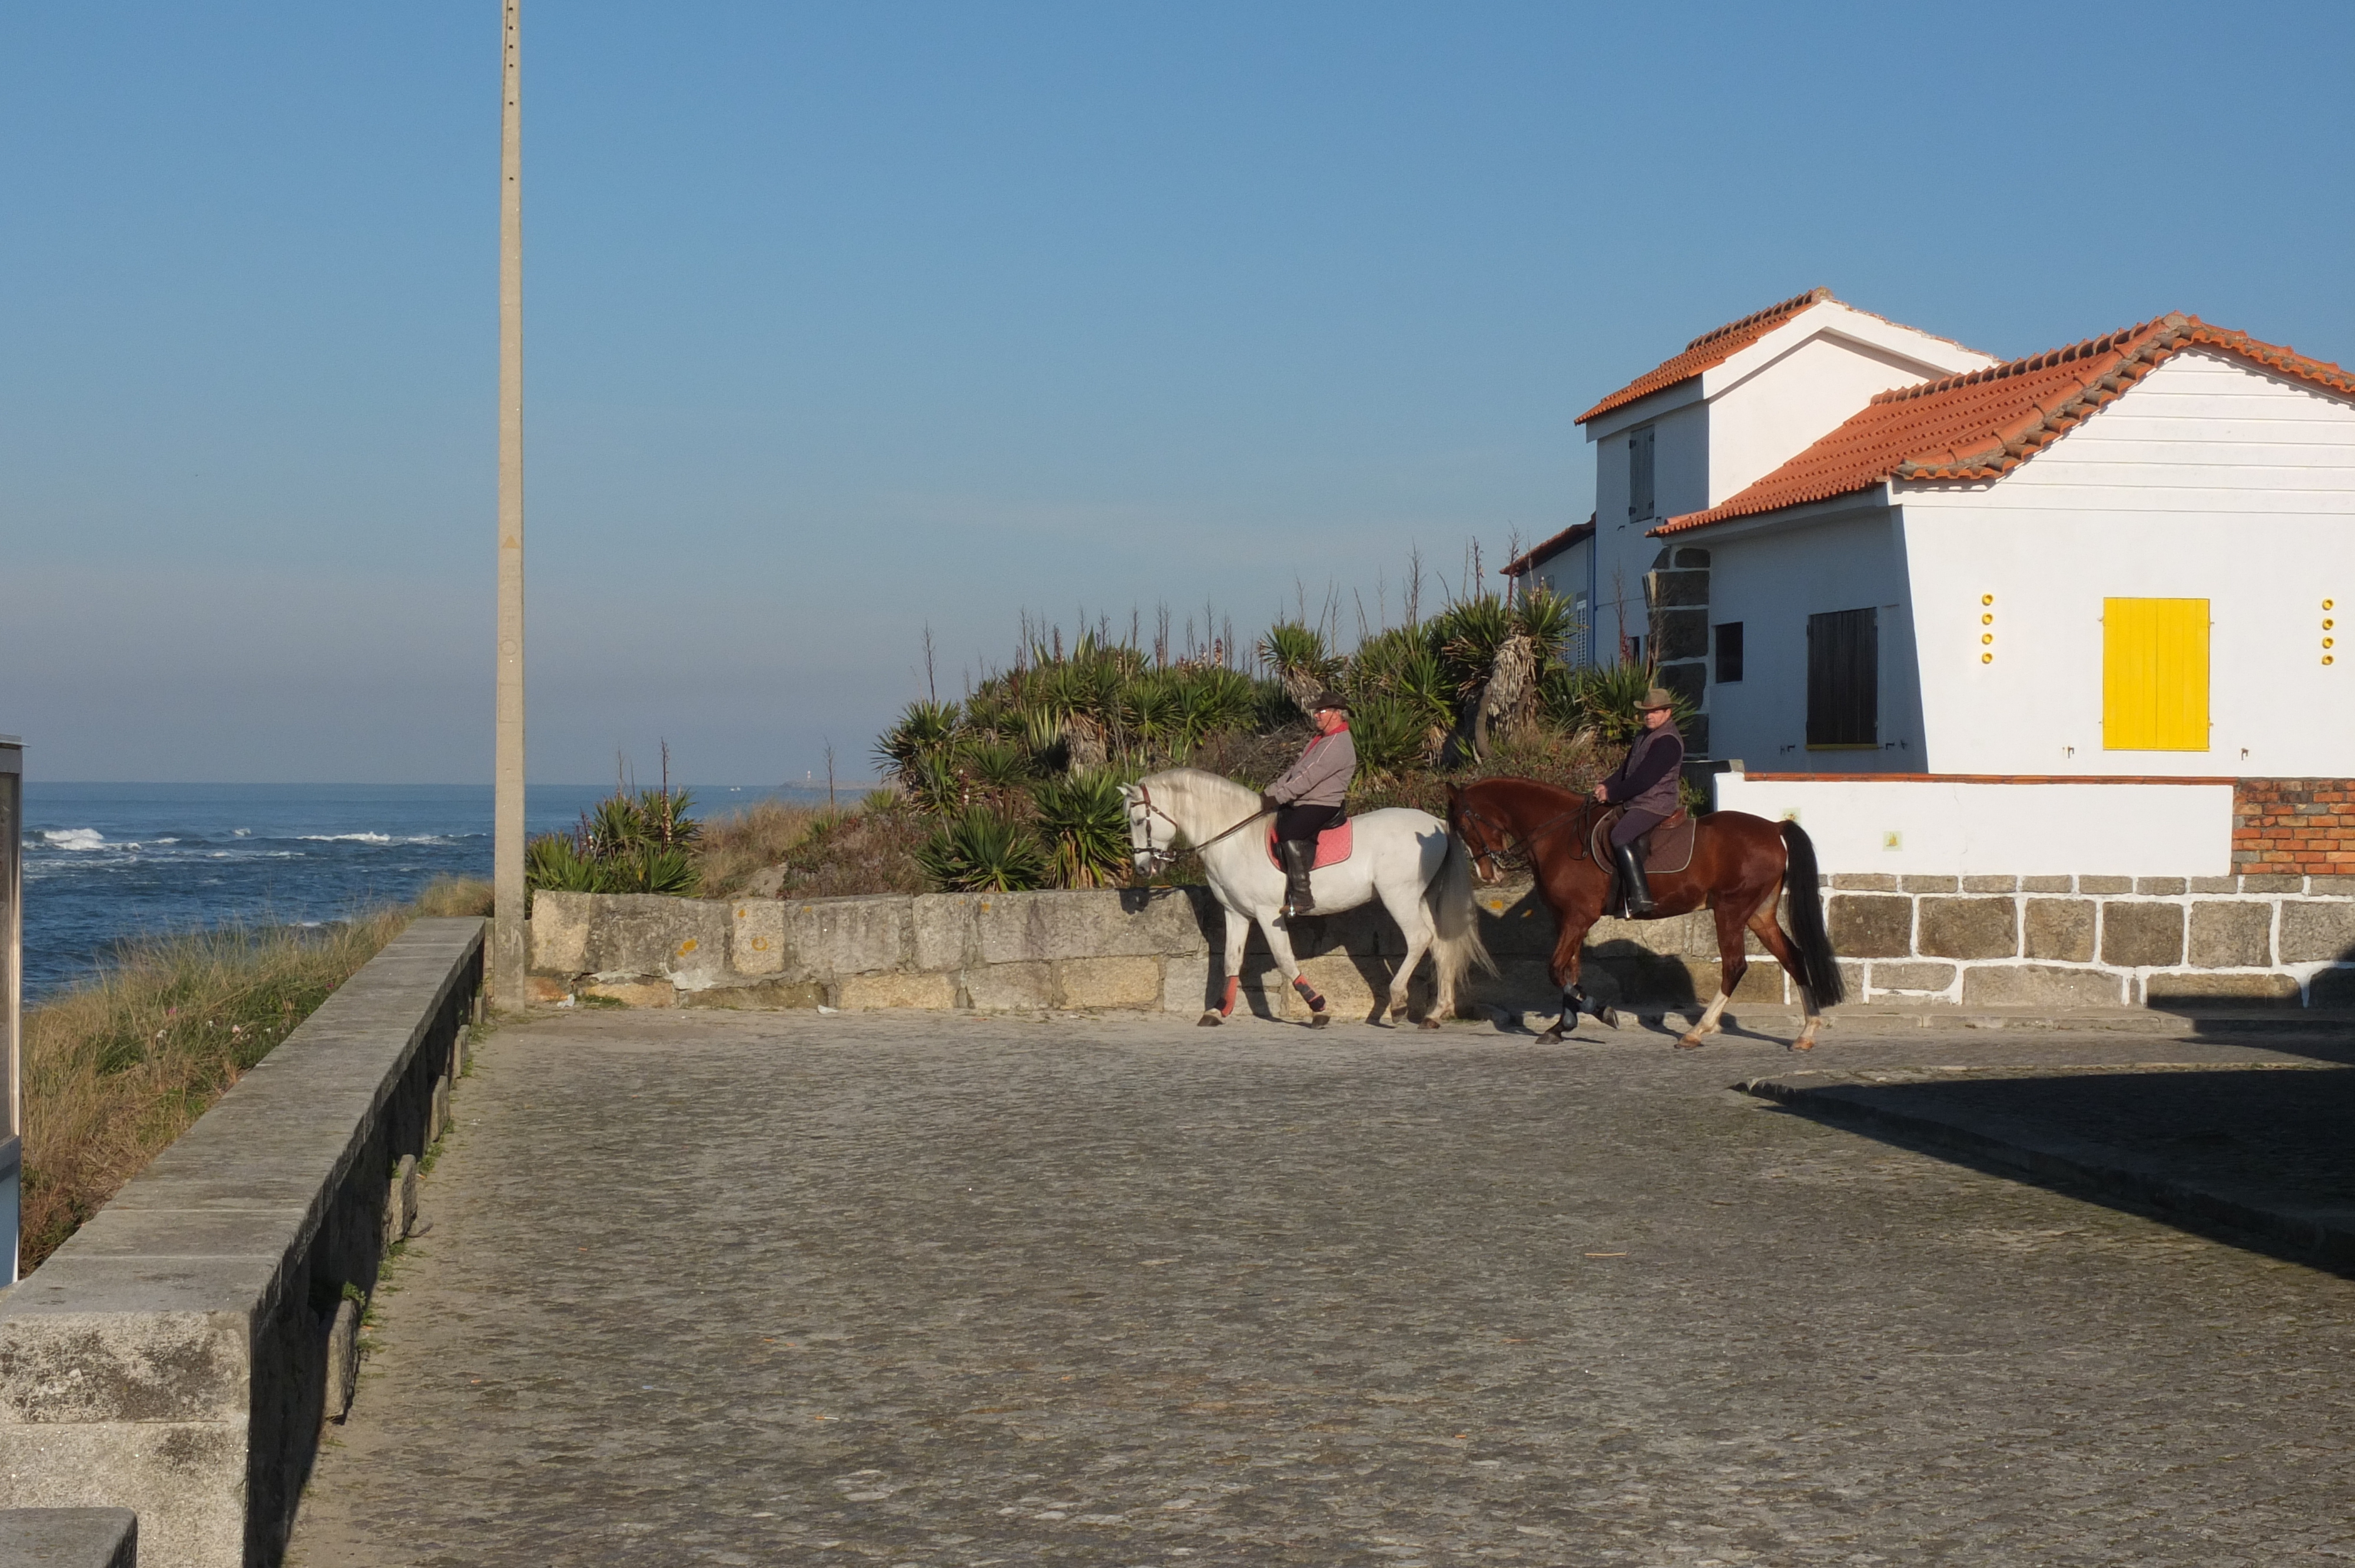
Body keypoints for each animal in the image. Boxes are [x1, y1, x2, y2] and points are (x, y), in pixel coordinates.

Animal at [1121, 768, 1488, 1026]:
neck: (1234, 839)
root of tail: (1437, 823)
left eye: (1139, 820)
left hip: (1399, 896)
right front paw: (1218, 1011)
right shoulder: (1236, 913)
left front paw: (1319, 1008)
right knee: (1440, 944)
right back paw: (1435, 1014)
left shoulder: (1267, 913)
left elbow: (1285, 960)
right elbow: (1231, 961)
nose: (1142, 867)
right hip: (1424, 898)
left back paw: (1398, 1002)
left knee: (1419, 939)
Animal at [1441, 772, 1846, 1045]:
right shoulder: (1567, 919)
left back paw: (1697, 1032)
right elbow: (1570, 971)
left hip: (1731, 910)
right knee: (1793, 958)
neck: (1559, 835)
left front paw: (1601, 1013)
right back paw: (1807, 1033)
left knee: (1735, 966)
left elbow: (1557, 971)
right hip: (1760, 914)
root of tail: (1775, 828)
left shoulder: (1579, 918)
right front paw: (1561, 1027)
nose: (1488, 874)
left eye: (1463, 823)